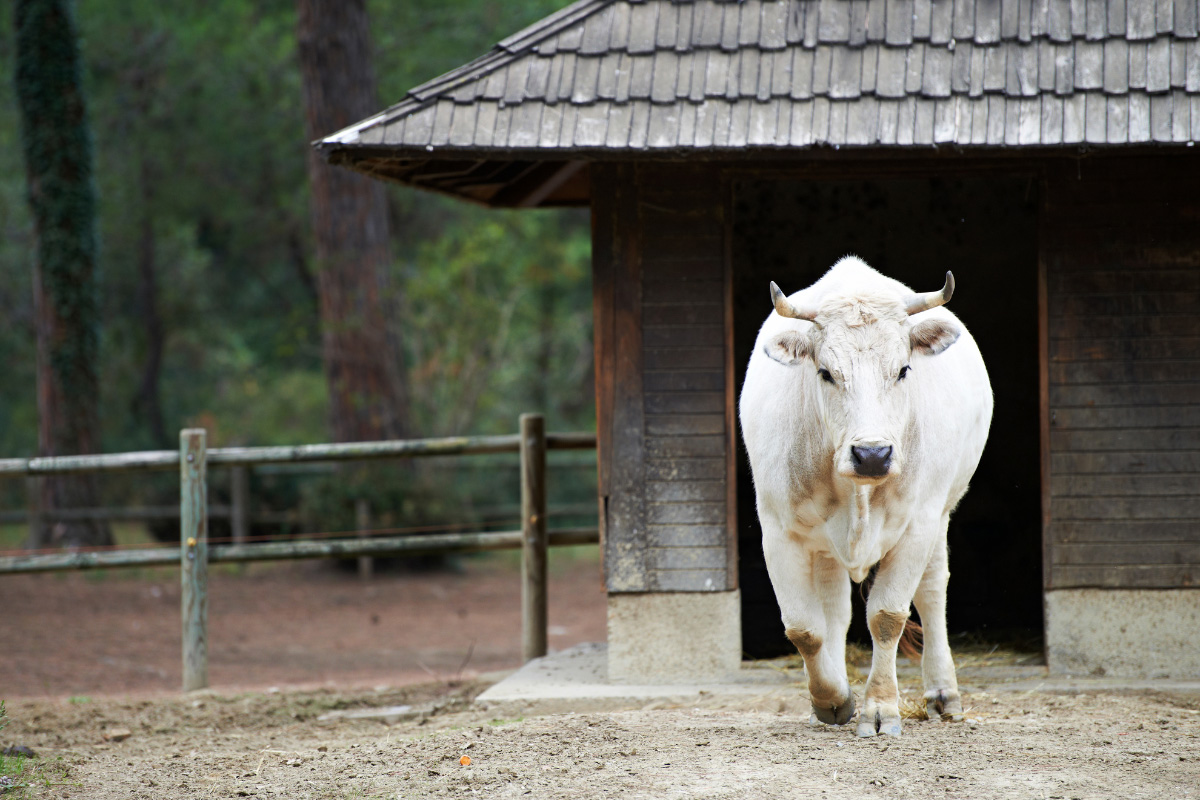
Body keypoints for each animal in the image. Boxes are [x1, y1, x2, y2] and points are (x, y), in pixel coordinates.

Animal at [739, 257, 993, 738]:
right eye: (825, 372)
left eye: (904, 370)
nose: (872, 454)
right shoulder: (779, 532)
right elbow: (805, 628)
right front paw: (832, 699)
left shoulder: (917, 525)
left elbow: (887, 617)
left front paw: (881, 709)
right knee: (835, 611)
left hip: (941, 513)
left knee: (932, 590)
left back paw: (943, 694)